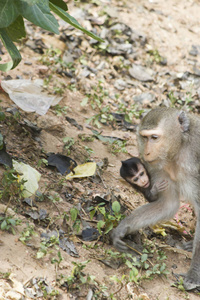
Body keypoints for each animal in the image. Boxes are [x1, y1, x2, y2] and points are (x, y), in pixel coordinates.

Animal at [112, 106, 200, 290]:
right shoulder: (157, 167)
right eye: (144, 138)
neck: (178, 150)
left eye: (154, 137)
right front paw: (123, 228)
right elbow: (168, 204)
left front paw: (194, 274)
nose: (146, 152)